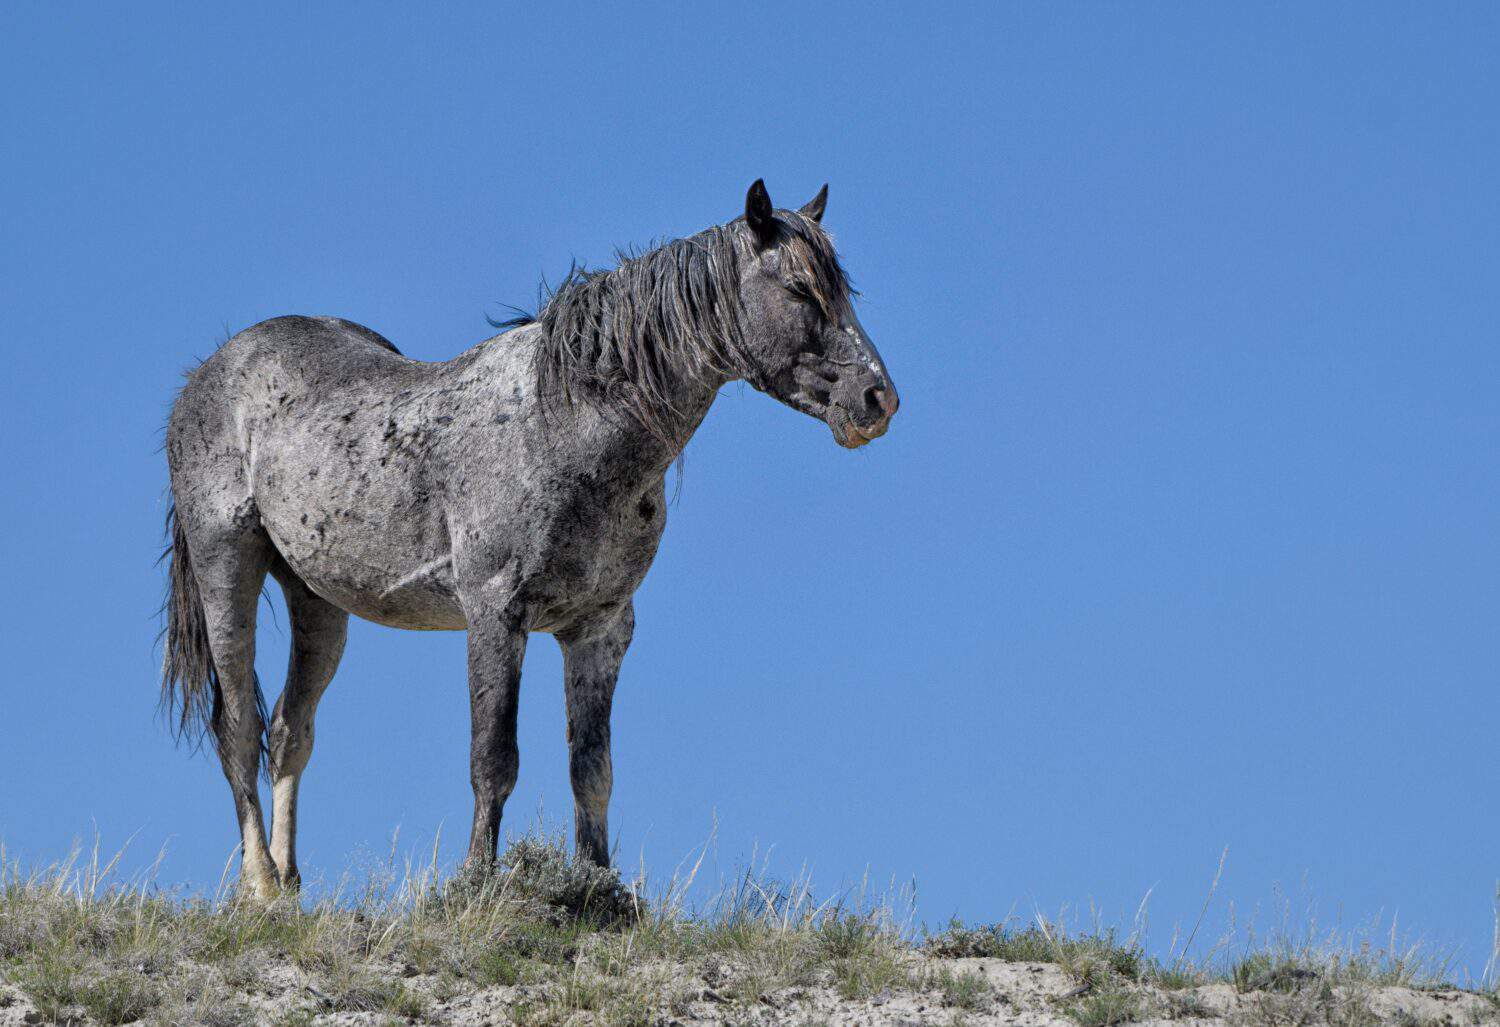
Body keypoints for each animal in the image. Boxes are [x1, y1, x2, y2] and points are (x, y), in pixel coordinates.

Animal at [158, 179, 894, 893]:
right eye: (798, 288)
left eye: (842, 288)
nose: (878, 400)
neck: (562, 424)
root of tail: (208, 373)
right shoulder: (494, 614)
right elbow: (494, 759)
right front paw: (476, 882)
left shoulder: (600, 629)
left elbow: (591, 769)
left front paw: (600, 889)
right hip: (228, 569)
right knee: (239, 727)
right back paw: (259, 886)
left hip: (317, 600)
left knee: (291, 729)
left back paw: (289, 885)